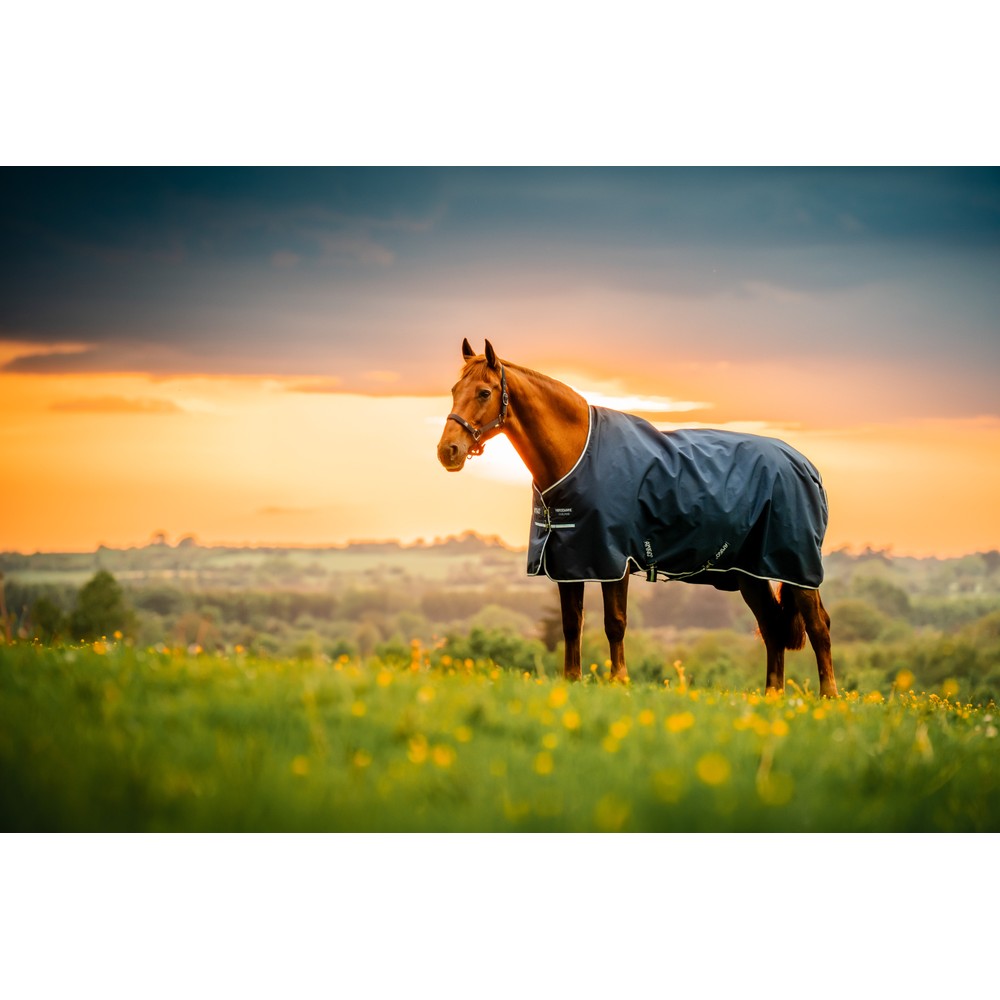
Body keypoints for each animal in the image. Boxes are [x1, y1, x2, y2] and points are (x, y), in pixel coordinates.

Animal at [437, 339, 838, 698]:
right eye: (455, 389)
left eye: (484, 392)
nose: (447, 451)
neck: (577, 455)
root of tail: (807, 467)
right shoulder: (569, 562)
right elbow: (571, 625)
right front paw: (572, 680)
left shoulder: (613, 560)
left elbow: (615, 624)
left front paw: (619, 681)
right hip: (749, 573)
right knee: (771, 627)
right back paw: (773, 696)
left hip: (798, 568)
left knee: (819, 626)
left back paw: (829, 697)